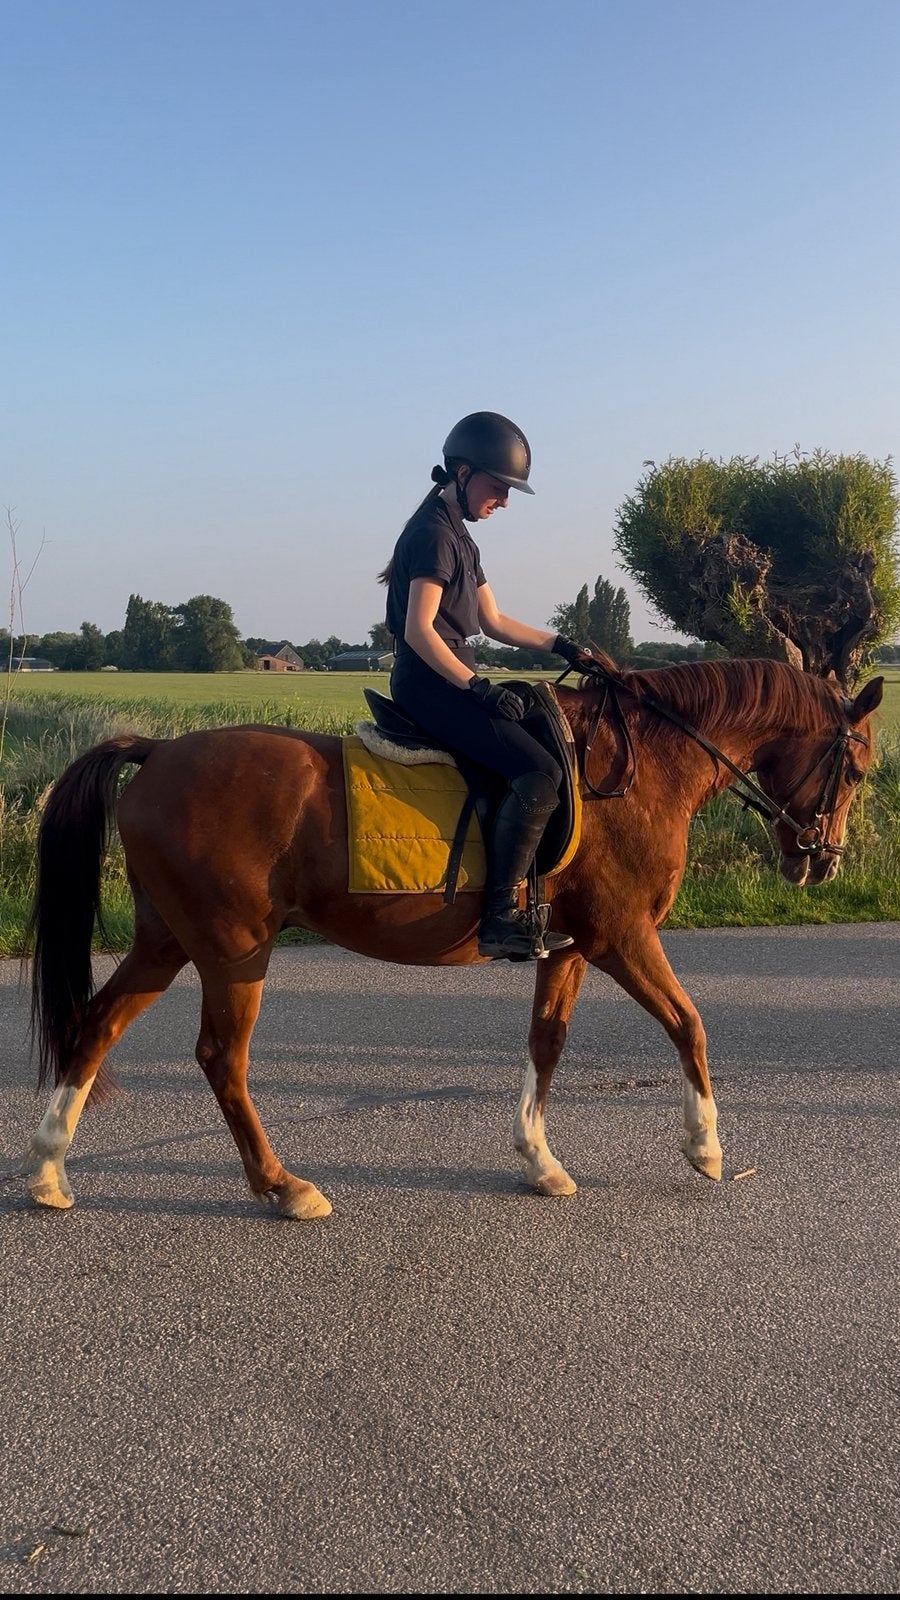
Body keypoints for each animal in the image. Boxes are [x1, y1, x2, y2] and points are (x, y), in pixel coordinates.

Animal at [23, 656, 883, 1220]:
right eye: (857, 771)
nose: (822, 860)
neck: (639, 768)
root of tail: (159, 750)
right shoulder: (621, 936)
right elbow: (689, 1024)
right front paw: (705, 1147)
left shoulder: (570, 947)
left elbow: (546, 1043)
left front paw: (540, 1161)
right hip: (236, 949)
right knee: (220, 1059)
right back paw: (281, 1185)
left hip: (166, 941)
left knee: (97, 1025)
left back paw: (49, 1169)